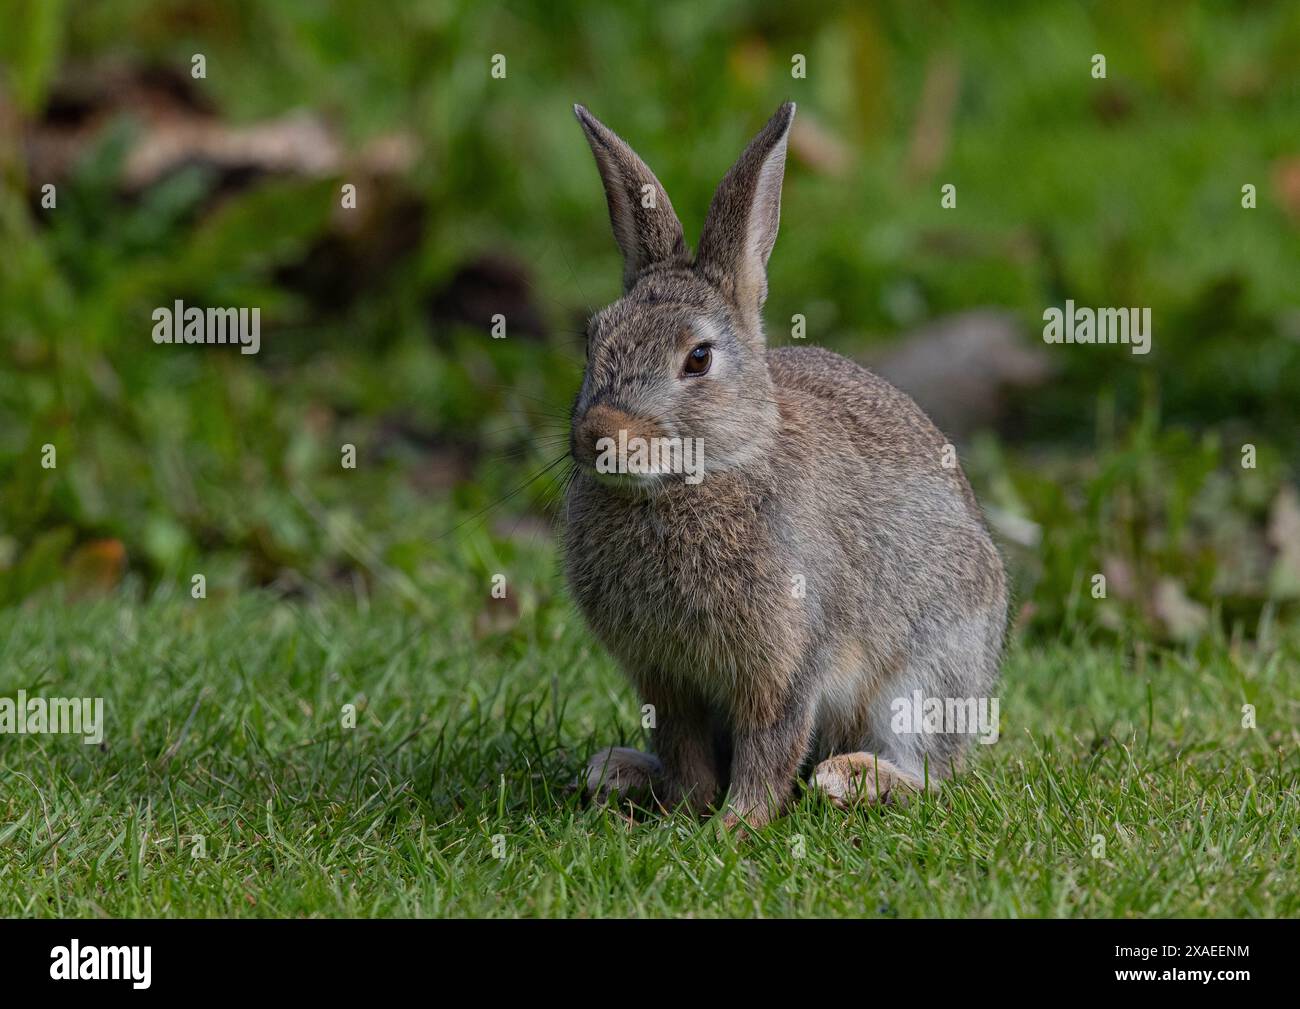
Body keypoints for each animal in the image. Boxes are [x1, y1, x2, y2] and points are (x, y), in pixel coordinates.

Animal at [561, 102, 1003, 832]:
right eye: (594, 340)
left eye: (699, 359)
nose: (601, 435)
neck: (699, 479)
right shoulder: (667, 680)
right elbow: (684, 746)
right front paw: (686, 813)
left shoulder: (792, 659)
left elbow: (772, 742)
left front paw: (734, 826)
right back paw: (620, 770)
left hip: (929, 675)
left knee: (928, 771)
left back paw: (852, 780)